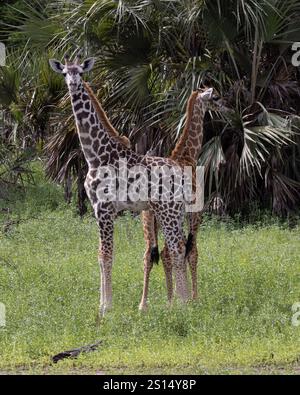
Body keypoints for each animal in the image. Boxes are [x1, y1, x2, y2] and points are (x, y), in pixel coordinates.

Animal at [49, 54, 209, 318]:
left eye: (80, 72)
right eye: (64, 73)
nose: (72, 84)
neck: (95, 154)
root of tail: (180, 171)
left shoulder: (105, 208)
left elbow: (107, 253)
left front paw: (106, 308)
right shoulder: (96, 208)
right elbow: (99, 254)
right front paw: (101, 305)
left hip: (170, 211)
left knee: (178, 248)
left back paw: (184, 304)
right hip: (172, 211)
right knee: (176, 248)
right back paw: (181, 302)